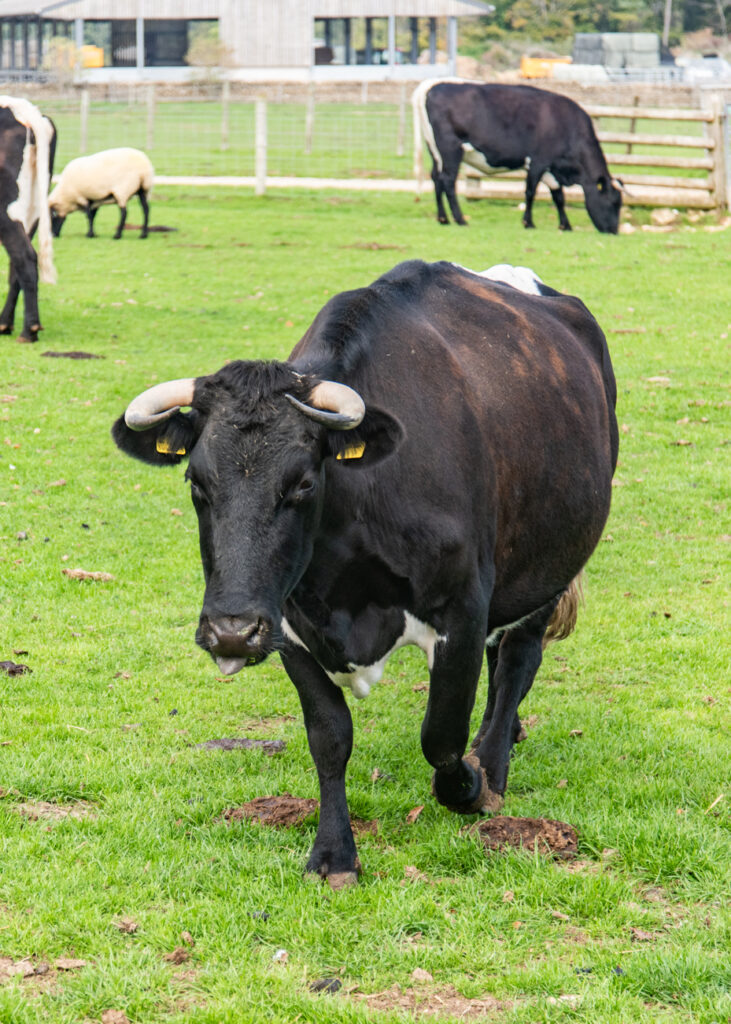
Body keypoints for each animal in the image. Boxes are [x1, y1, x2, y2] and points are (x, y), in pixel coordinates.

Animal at [112, 260, 618, 888]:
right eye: (196, 483)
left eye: (303, 483)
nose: (231, 632)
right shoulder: (290, 620)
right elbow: (329, 737)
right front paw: (333, 854)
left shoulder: (463, 608)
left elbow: (441, 737)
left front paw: (473, 785)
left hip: (549, 565)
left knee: (517, 661)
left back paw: (495, 762)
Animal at [413, 79, 622, 233]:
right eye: (614, 203)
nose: (613, 230)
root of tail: (431, 85)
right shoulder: (538, 162)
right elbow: (530, 192)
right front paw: (528, 223)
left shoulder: (552, 169)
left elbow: (559, 197)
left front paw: (565, 225)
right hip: (451, 150)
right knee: (448, 181)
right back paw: (460, 219)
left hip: (436, 152)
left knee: (436, 179)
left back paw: (443, 218)